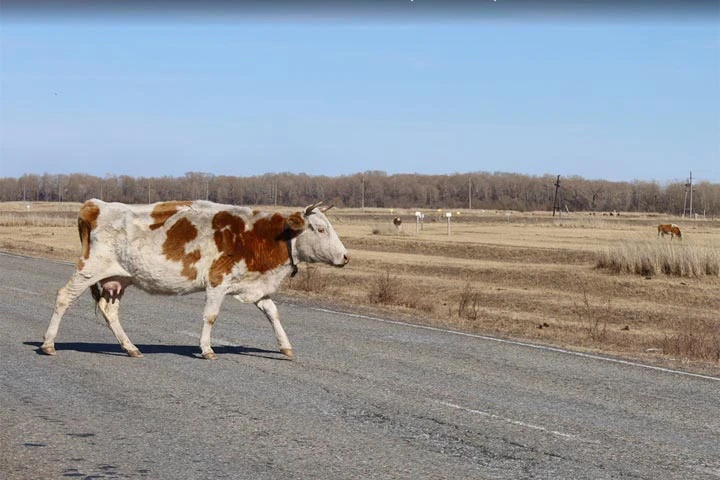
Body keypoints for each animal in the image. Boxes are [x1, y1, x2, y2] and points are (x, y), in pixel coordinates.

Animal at [41, 199, 349, 360]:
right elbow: (210, 316)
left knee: (110, 311)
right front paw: (207, 349)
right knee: (63, 297)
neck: (260, 236)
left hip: (118, 279)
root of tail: (95, 205)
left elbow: (273, 313)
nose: (345, 257)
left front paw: (285, 346)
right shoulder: (218, 281)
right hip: (89, 269)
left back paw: (130, 348)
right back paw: (48, 343)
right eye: (320, 229)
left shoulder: (255, 286)